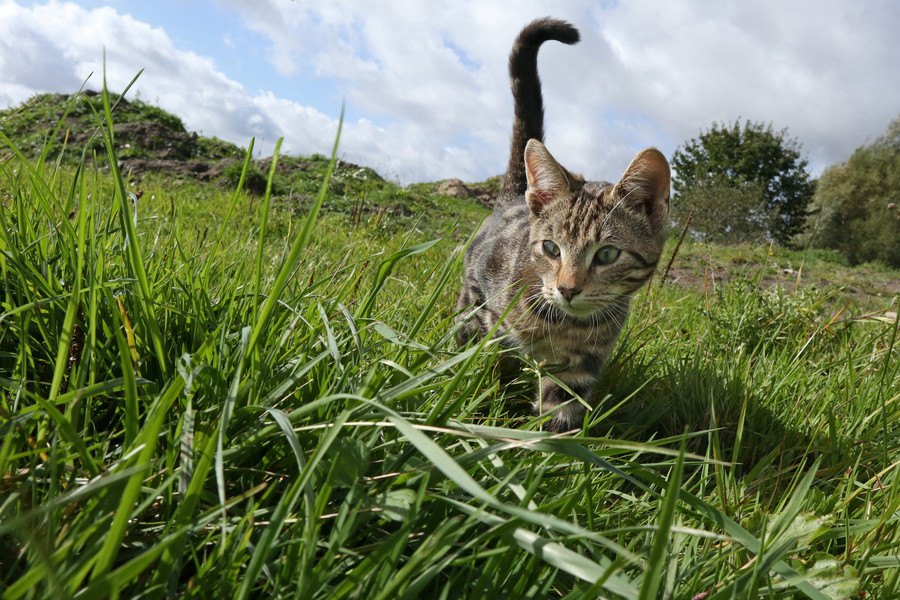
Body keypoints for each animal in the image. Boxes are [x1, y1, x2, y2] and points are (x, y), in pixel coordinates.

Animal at [460, 16, 672, 428]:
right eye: (550, 248)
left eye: (607, 254)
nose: (567, 289)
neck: (563, 323)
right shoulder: (488, 312)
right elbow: (491, 361)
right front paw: (486, 401)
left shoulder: (579, 367)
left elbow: (560, 414)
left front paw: (544, 443)